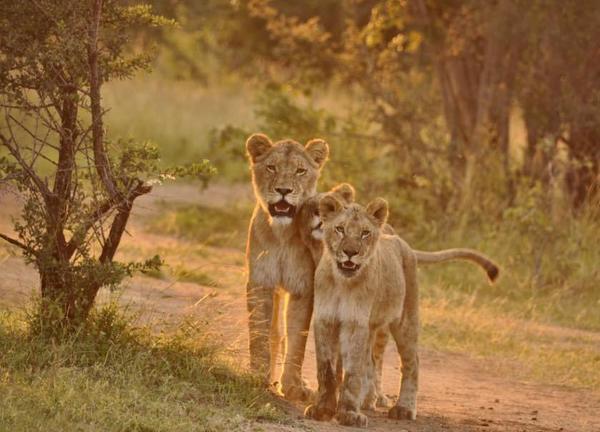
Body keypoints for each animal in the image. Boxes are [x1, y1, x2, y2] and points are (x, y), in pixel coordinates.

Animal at [245, 132, 328, 401]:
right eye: (271, 167)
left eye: (300, 171)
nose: (283, 190)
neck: (281, 234)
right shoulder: (261, 282)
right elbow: (260, 333)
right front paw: (258, 377)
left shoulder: (303, 287)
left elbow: (298, 339)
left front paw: (293, 385)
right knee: (275, 334)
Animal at [304, 193, 499, 427]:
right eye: (340, 229)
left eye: (365, 233)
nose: (350, 252)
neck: (342, 281)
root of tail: (403, 243)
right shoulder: (325, 320)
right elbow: (326, 368)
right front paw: (322, 409)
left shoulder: (355, 324)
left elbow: (352, 373)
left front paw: (348, 413)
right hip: (374, 326)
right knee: (371, 362)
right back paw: (369, 401)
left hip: (406, 320)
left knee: (411, 363)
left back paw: (403, 408)